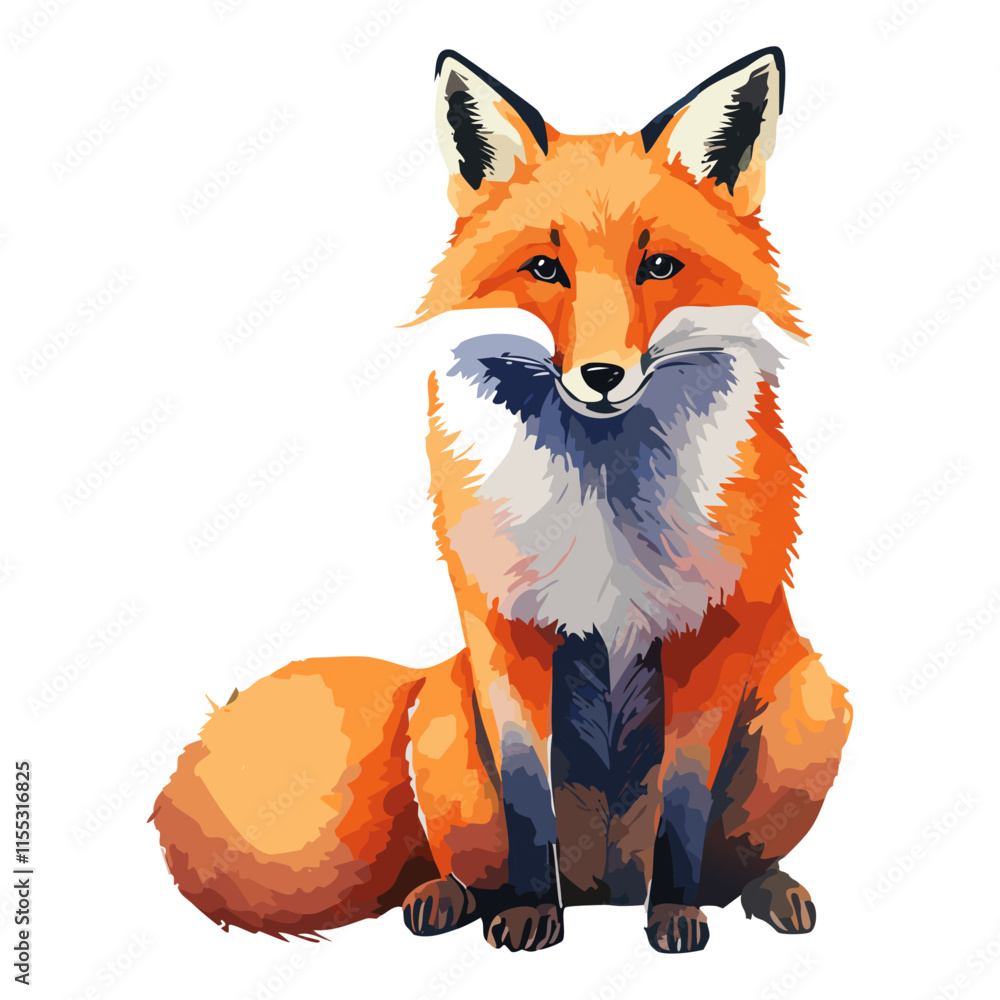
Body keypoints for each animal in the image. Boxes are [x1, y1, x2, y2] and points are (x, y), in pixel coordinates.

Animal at [152, 47, 852, 953]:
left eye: (658, 266)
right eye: (545, 269)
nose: (601, 375)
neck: (603, 509)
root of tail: (604, 892)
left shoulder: (710, 638)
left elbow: (684, 807)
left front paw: (675, 914)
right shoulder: (507, 635)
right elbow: (528, 798)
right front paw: (526, 912)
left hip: (811, 705)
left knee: (735, 868)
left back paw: (768, 892)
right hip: (441, 722)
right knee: (452, 864)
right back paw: (451, 900)